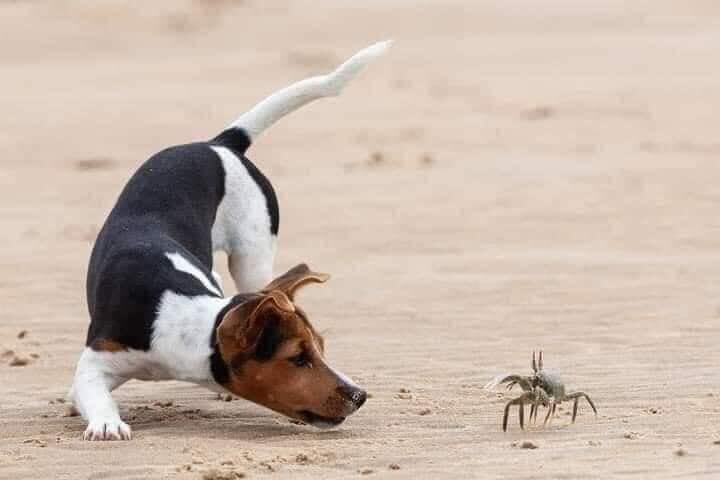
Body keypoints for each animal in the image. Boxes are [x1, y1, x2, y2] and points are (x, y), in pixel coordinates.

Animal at [70, 42, 390, 442]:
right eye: (298, 358)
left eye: (321, 348)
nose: (359, 395)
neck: (188, 323)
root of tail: (219, 144)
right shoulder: (94, 362)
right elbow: (94, 392)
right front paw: (107, 423)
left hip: (253, 257)